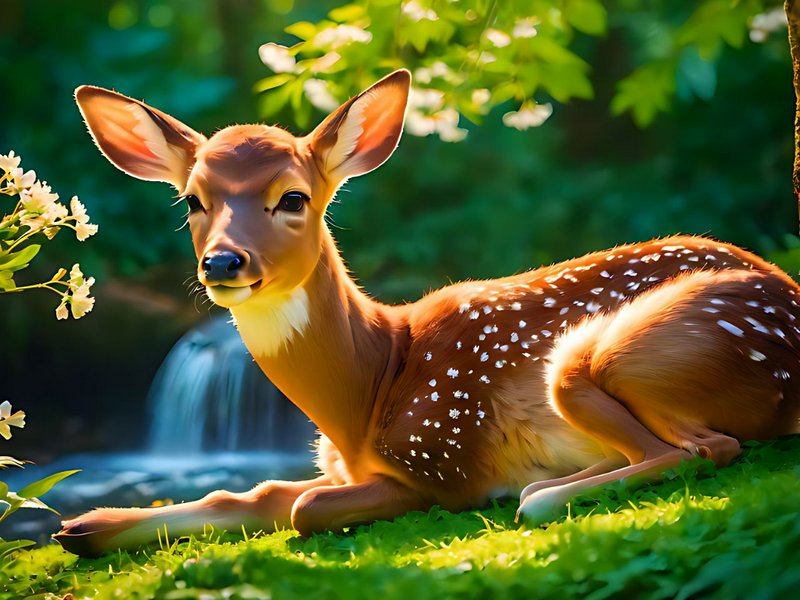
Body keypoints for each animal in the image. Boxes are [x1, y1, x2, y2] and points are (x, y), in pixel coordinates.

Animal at [54, 69, 800, 557]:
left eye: (293, 197)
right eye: (192, 200)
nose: (223, 263)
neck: (368, 386)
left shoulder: (438, 458)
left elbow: (303, 507)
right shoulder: (339, 463)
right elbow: (253, 493)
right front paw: (86, 527)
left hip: (605, 355)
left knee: (700, 448)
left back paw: (532, 487)